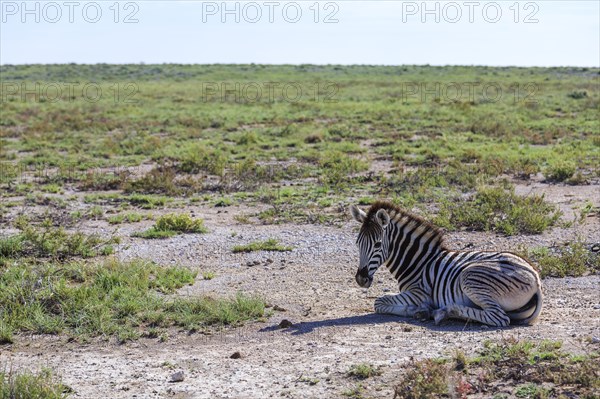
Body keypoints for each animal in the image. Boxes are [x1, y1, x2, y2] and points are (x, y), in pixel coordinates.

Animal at [352, 202, 544, 326]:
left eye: (377, 244)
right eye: (357, 243)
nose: (361, 279)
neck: (418, 262)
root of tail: (535, 278)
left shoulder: (418, 293)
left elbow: (379, 302)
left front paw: (419, 310)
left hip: (471, 277)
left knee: (499, 318)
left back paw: (443, 312)